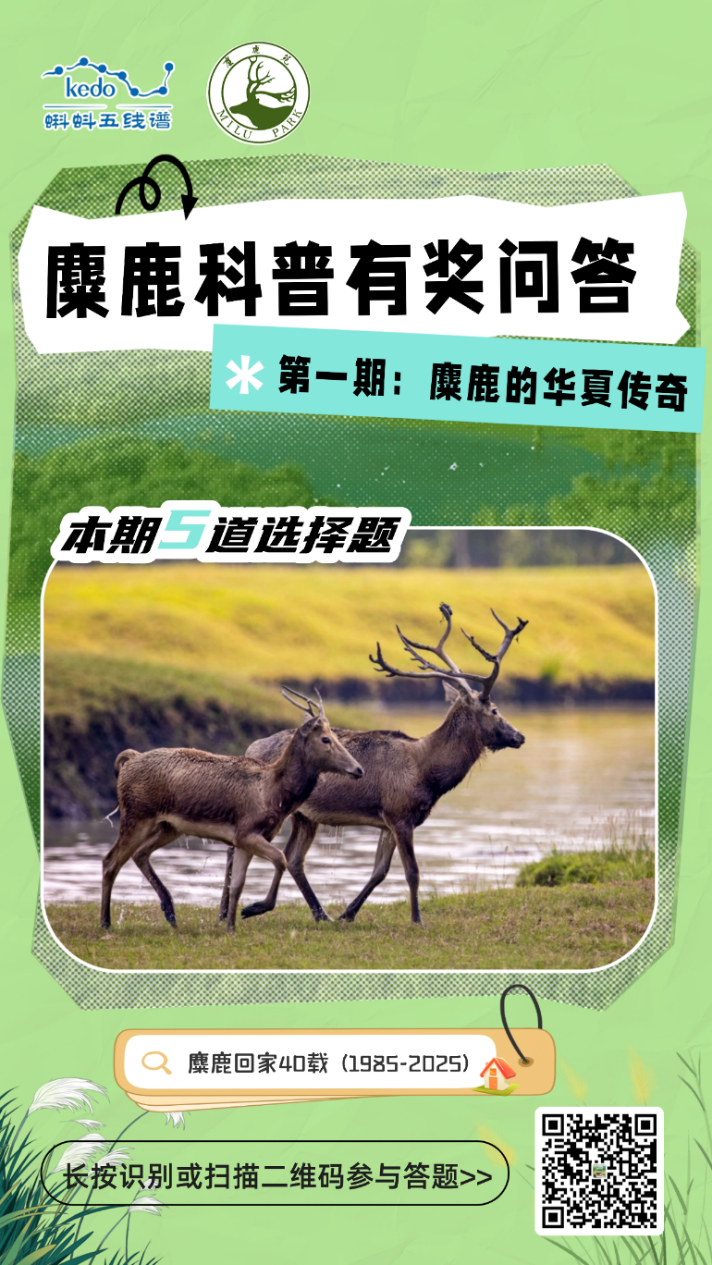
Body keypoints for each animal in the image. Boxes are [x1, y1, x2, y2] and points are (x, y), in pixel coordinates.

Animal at [99, 688, 364, 934]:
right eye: (326, 739)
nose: (359, 769)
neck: (275, 794)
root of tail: (130, 760)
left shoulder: (245, 838)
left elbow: (238, 883)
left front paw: (231, 927)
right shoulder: (246, 832)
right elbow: (281, 859)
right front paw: (254, 909)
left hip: (169, 826)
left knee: (140, 854)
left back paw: (170, 913)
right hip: (136, 815)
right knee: (110, 861)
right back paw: (106, 923)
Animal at [219, 604, 527, 927]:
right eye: (495, 710)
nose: (519, 736)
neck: (428, 774)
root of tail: (250, 746)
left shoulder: (388, 820)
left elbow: (379, 871)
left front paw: (348, 913)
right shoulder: (400, 813)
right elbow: (412, 872)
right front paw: (417, 919)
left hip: (305, 815)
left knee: (293, 859)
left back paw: (319, 914)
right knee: (236, 849)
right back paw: (226, 911)